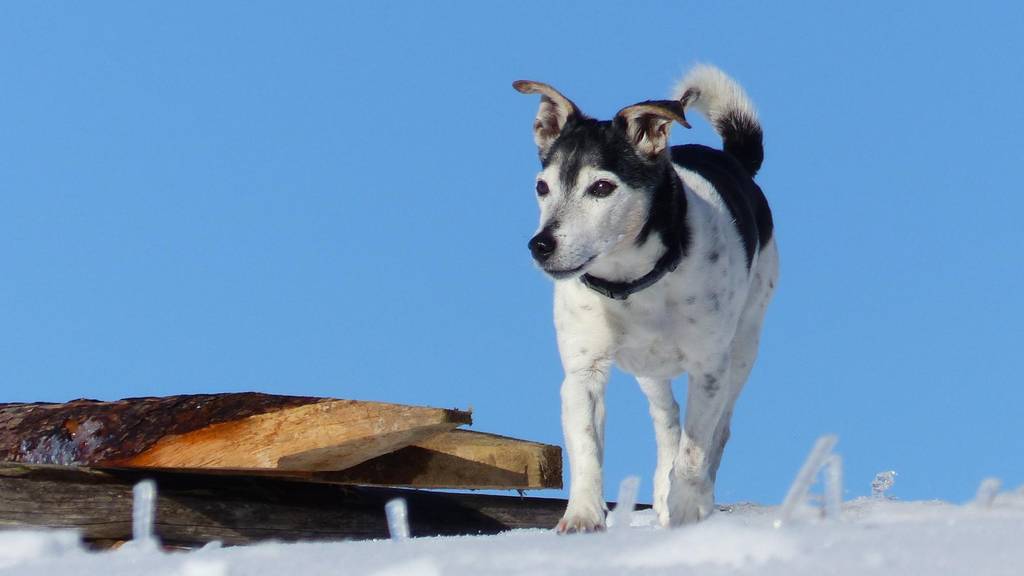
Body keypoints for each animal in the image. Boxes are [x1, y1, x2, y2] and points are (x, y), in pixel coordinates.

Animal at [512, 63, 774, 528]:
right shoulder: (583, 372)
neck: (633, 285)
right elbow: (586, 447)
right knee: (666, 420)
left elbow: (694, 452)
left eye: (601, 188)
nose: (540, 245)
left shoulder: (708, 370)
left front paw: (687, 511)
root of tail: (733, 161)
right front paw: (582, 517)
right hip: (649, 369)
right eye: (542, 187)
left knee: (717, 433)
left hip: (743, 346)